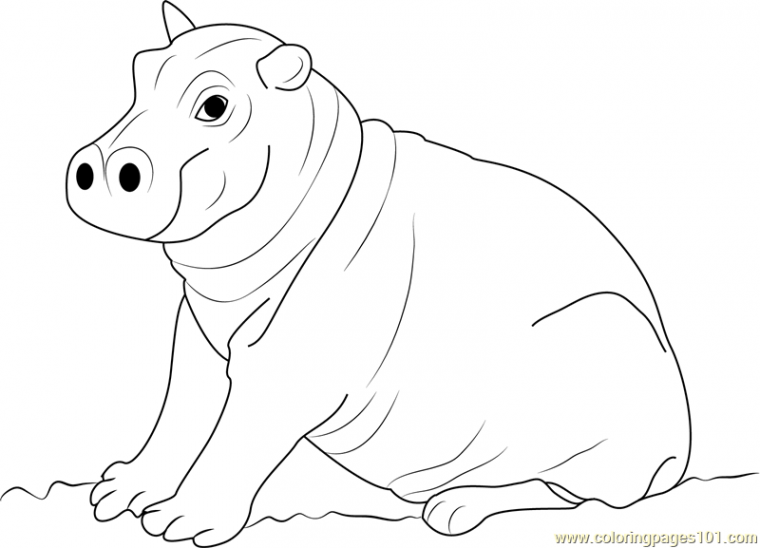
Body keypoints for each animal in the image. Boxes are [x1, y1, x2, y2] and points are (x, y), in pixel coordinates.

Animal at [67, 2, 691, 546]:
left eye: (215, 104)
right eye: (139, 70)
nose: (99, 166)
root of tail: (680, 449)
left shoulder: (291, 366)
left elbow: (238, 438)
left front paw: (183, 522)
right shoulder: (197, 334)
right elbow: (177, 409)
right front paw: (121, 491)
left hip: (597, 357)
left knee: (568, 493)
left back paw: (454, 508)